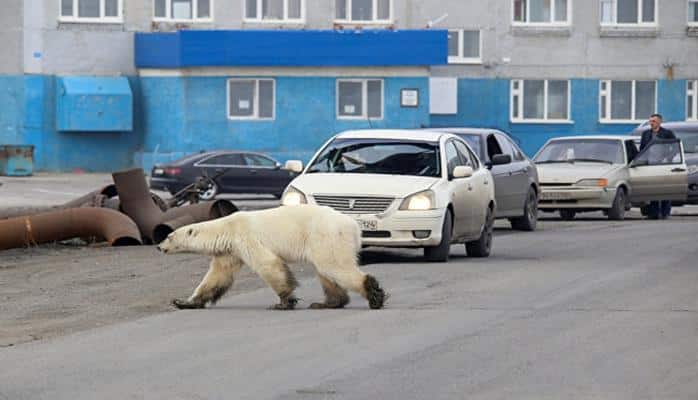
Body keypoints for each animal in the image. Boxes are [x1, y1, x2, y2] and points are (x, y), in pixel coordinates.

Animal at [158, 205, 386, 310]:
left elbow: (268, 264)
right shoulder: (230, 251)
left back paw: (374, 294)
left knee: (333, 266)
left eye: (169, 236)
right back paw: (327, 303)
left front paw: (283, 302)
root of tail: (354, 225)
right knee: (326, 272)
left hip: (326, 236)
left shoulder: (246, 237)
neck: (227, 229)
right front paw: (183, 302)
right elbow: (217, 276)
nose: (159, 247)